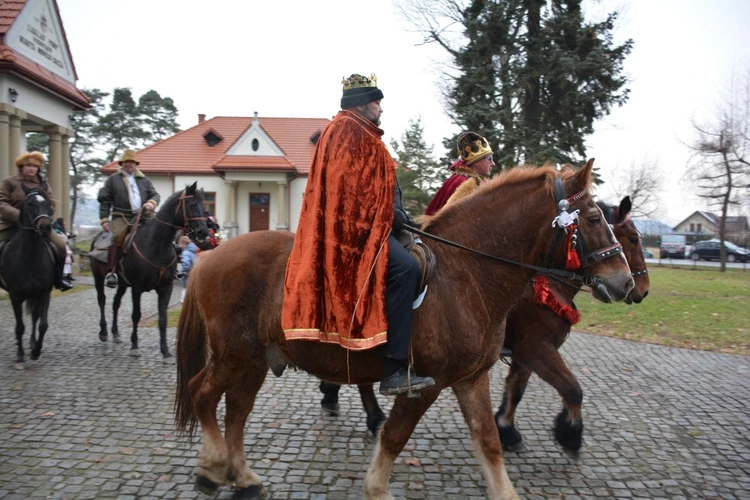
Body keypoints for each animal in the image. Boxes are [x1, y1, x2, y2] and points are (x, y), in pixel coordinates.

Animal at [0, 186, 56, 370]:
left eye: (47, 203)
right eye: (30, 204)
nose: (45, 227)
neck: (30, 256)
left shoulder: (44, 293)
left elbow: (43, 324)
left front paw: (35, 351)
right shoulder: (15, 295)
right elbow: (19, 327)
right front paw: (20, 357)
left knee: (34, 317)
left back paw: (32, 343)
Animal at [91, 183, 209, 360]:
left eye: (204, 205)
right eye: (192, 204)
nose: (203, 232)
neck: (156, 245)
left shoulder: (165, 288)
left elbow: (162, 318)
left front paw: (165, 350)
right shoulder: (137, 288)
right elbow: (136, 315)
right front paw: (135, 346)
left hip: (123, 284)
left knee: (116, 303)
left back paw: (116, 333)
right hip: (98, 277)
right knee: (102, 300)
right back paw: (104, 332)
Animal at [320, 194, 648, 450]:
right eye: (633, 238)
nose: (636, 288)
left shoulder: (524, 354)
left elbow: (516, 390)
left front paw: (506, 428)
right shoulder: (537, 348)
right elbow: (572, 389)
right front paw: (570, 435)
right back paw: (370, 415)